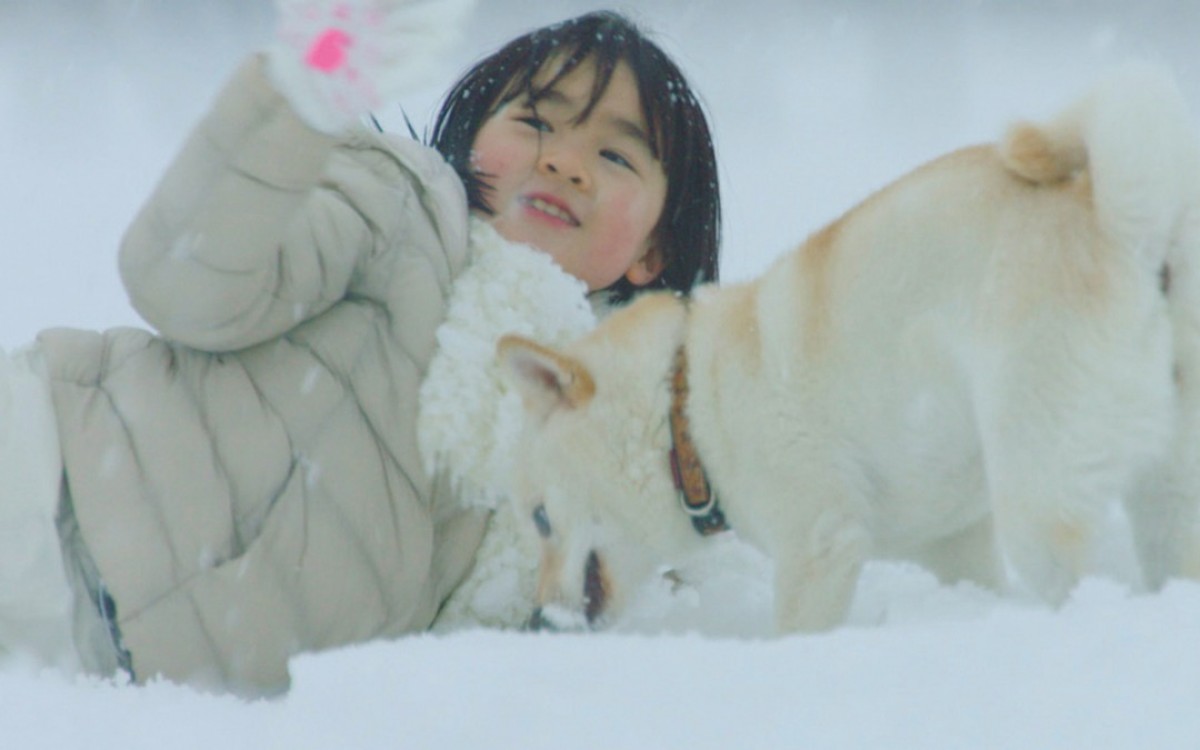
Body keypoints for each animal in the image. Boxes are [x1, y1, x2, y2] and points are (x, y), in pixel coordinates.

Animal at [496, 65, 1200, 633]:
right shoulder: (953, 542)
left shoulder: (819, 540)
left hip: (1038, 498)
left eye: (539, 519)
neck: (686, 409)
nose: (535, 623)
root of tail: (1126, 226)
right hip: (1163, 501)